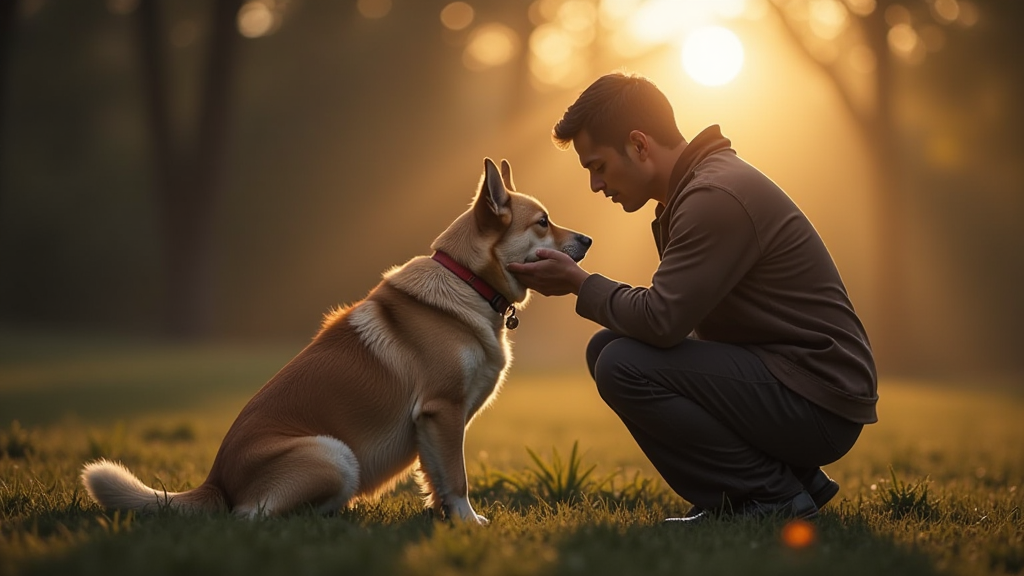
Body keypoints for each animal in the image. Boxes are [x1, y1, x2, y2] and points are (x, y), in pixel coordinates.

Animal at [79, 155, 593, 520]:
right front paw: (469, 524)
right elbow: (458, 479)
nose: (588, 239)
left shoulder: (434, 424)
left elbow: (438, 479)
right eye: (543, 222)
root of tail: (216, 481)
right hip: (334, 455)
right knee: (252, 516)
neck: (468, 281)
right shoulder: (442, 410)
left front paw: (444, 519)